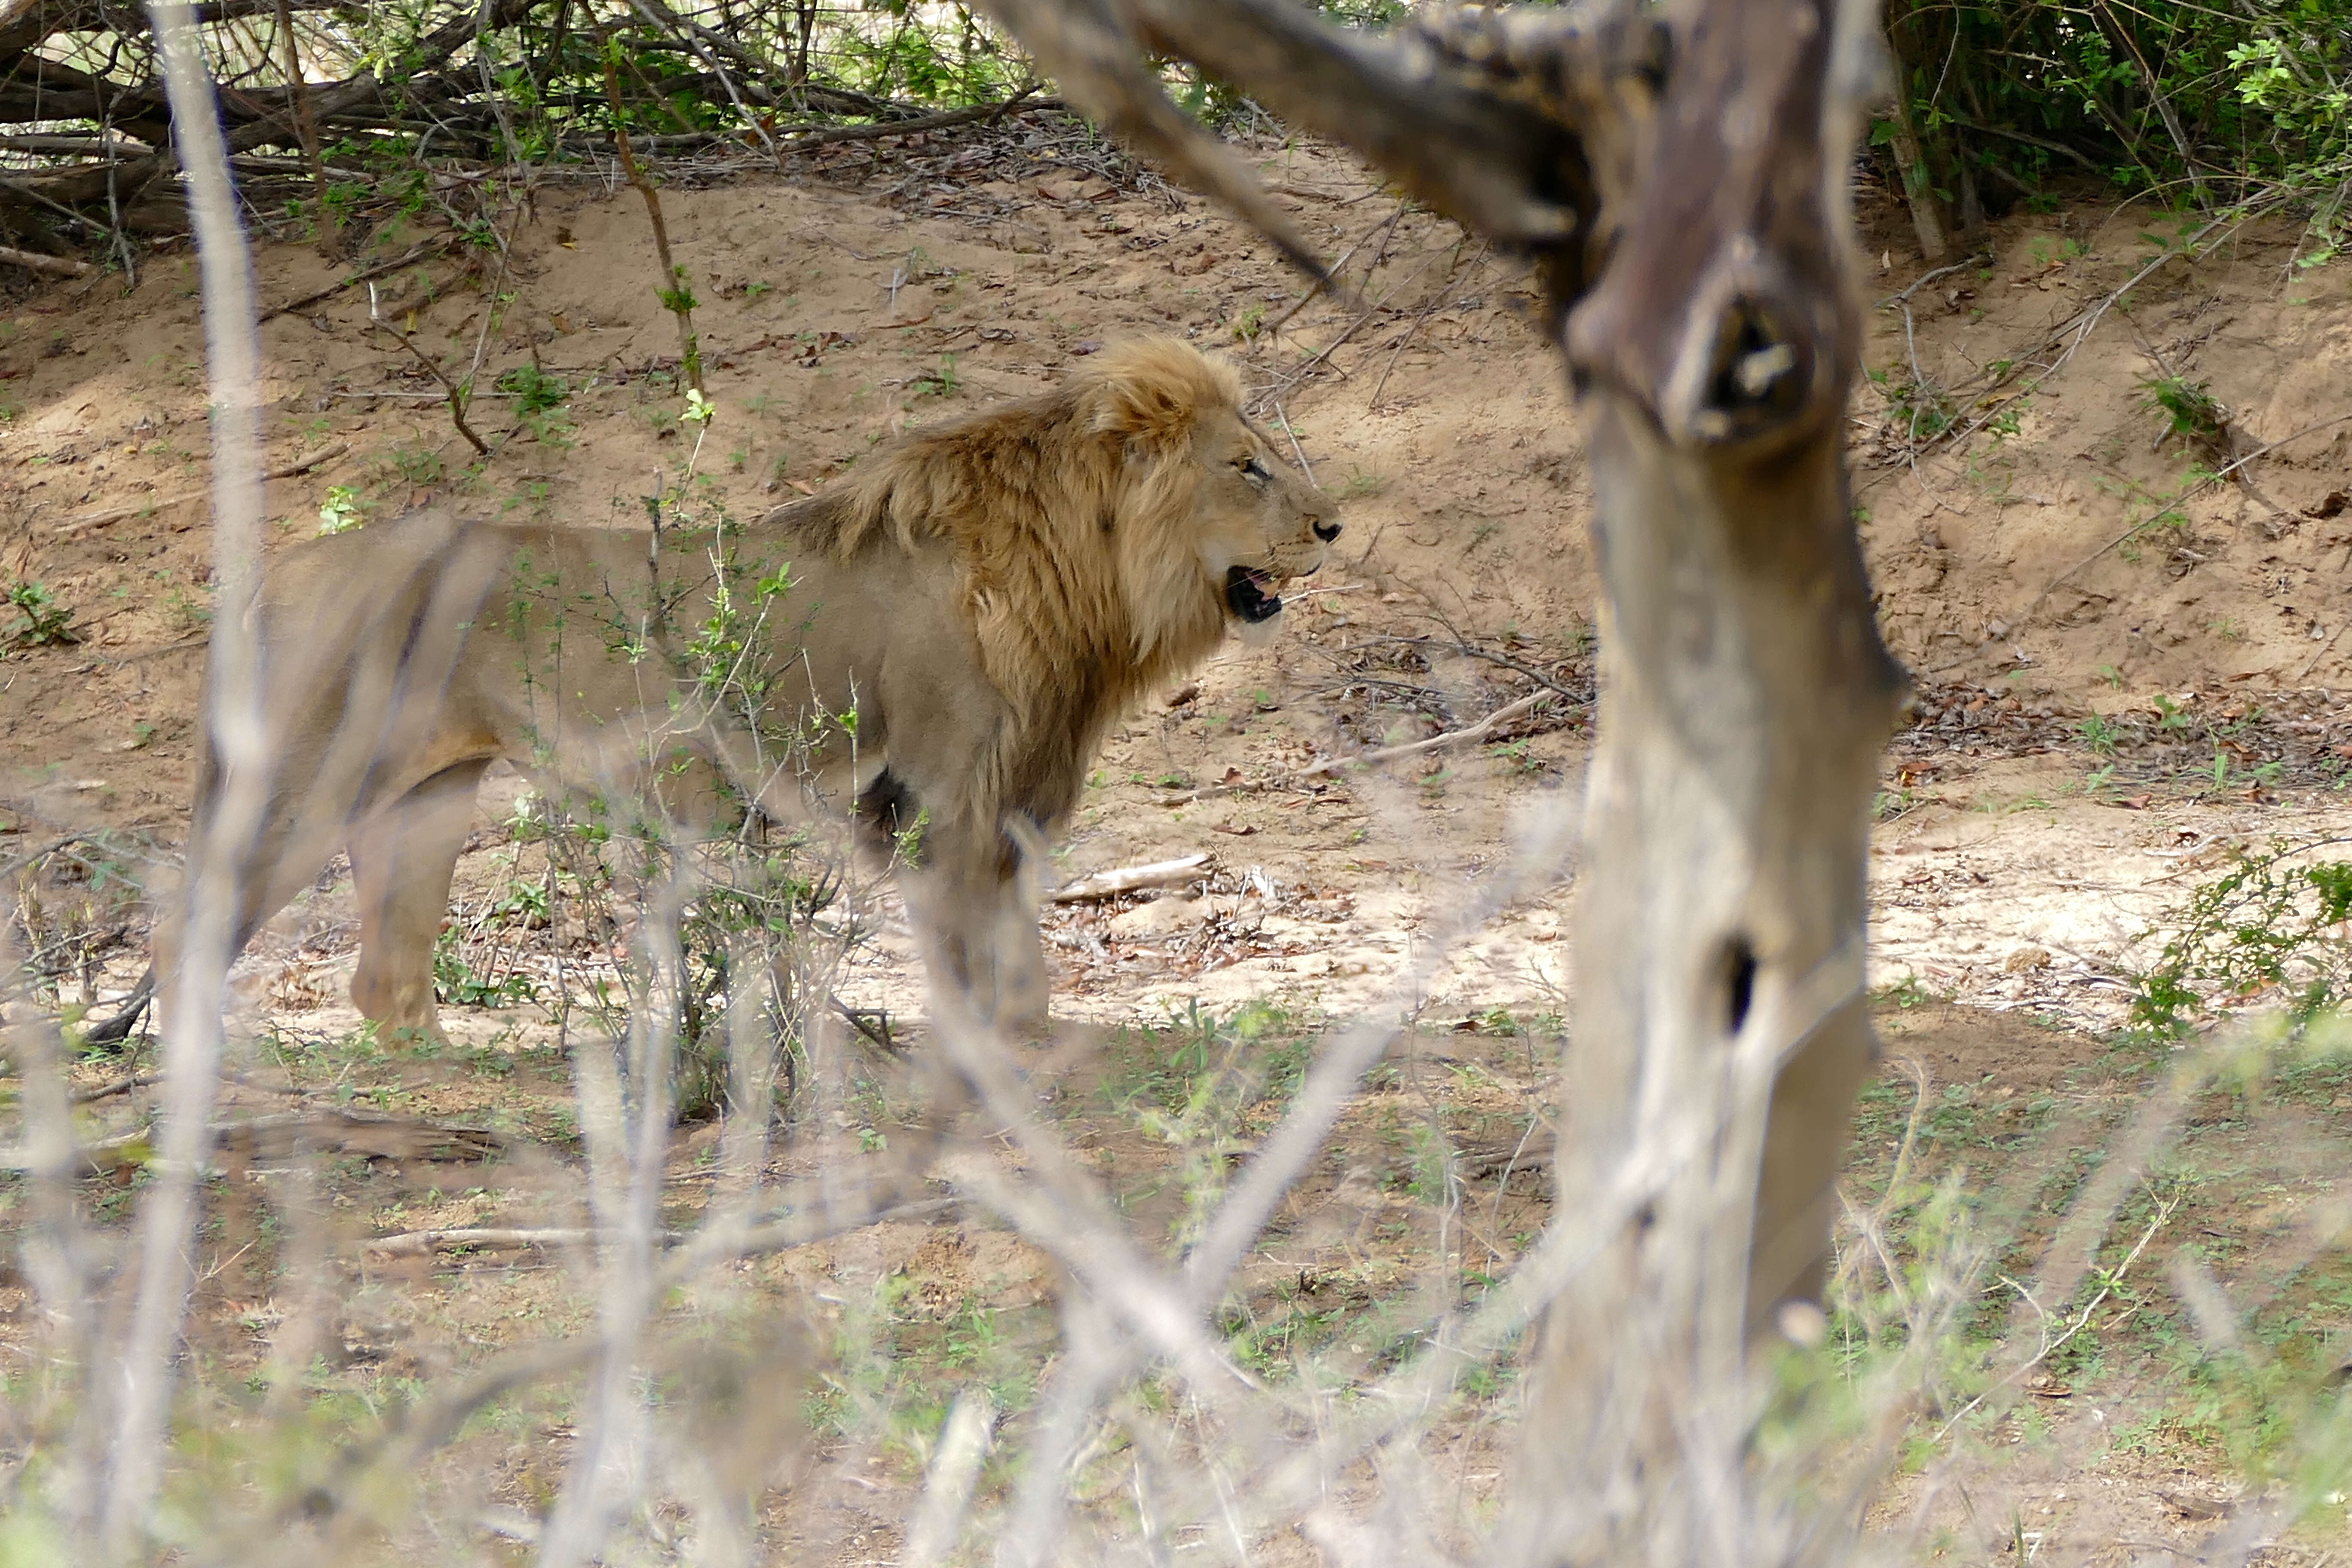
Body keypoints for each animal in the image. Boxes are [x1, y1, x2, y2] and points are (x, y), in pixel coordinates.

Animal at [92, 338, 1336, 1048]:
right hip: (304, 784)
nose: (1333, 525)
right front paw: (989, 1051)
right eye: (1246, 465)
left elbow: (1013, 920)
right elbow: (963, 929)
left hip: (426, 802)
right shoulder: (943, 780)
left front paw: (1028, 1028)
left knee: (380, 979)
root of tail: (281, 574)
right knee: (187, 921)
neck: (1094, 580)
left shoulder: (1023, 779)